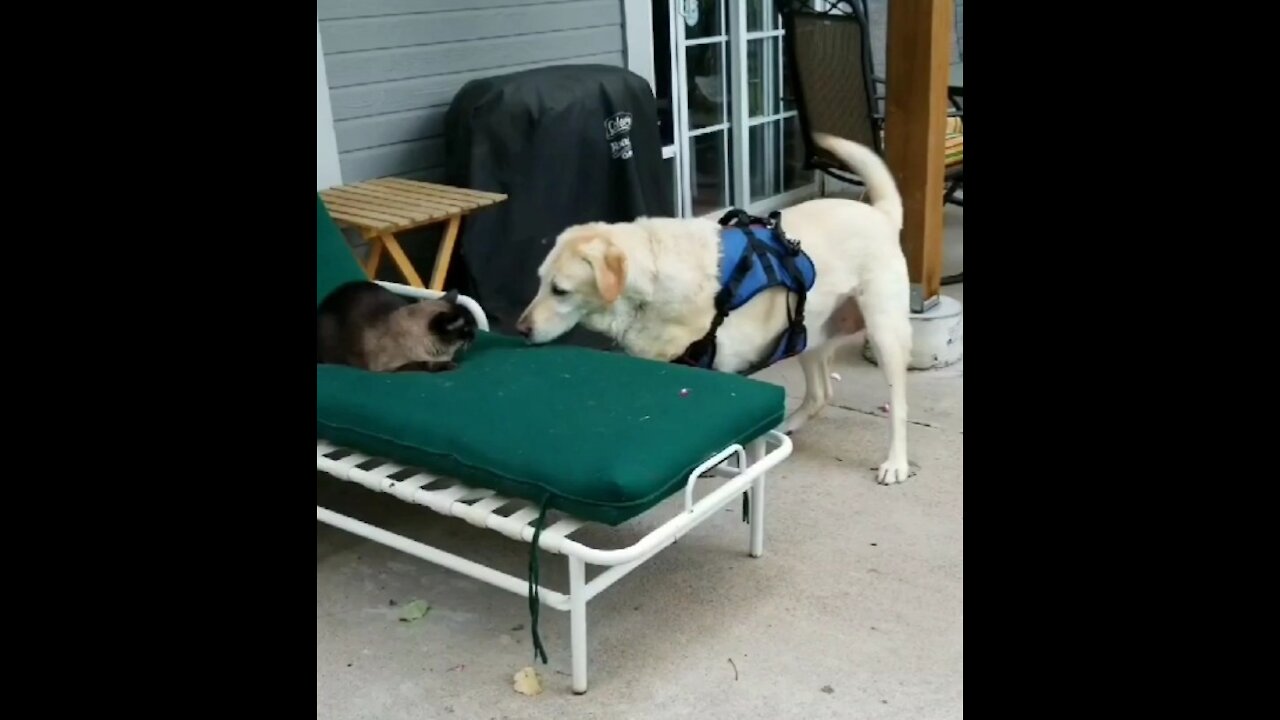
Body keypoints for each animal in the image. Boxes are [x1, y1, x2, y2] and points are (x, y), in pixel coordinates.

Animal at [514, 134, 916, 481]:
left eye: (560, 290)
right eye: (539, 282)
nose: (521, 329)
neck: (651, 286)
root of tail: (880, 214)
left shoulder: (713, 366)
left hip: (883, 332)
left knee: (898, 405)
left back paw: (895, 462)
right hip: (806, 331)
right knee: (821, 394)